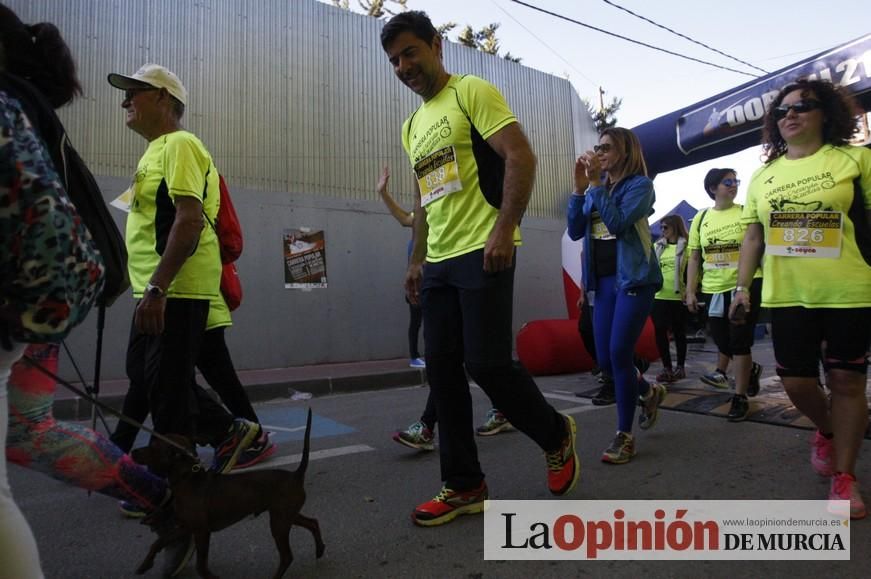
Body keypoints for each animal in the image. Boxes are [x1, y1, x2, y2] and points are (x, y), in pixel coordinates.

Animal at [135, 410, 326, 576]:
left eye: (153, 447)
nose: (133, 452)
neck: (188, 479)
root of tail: (296, 474)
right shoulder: (186, 527)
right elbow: (158, 542)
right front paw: (145, 565)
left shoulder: (201, 532)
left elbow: (201, 567)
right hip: (286, 516)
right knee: (313, 523)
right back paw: (320, 550)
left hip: (279, 522)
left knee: (287, 556)